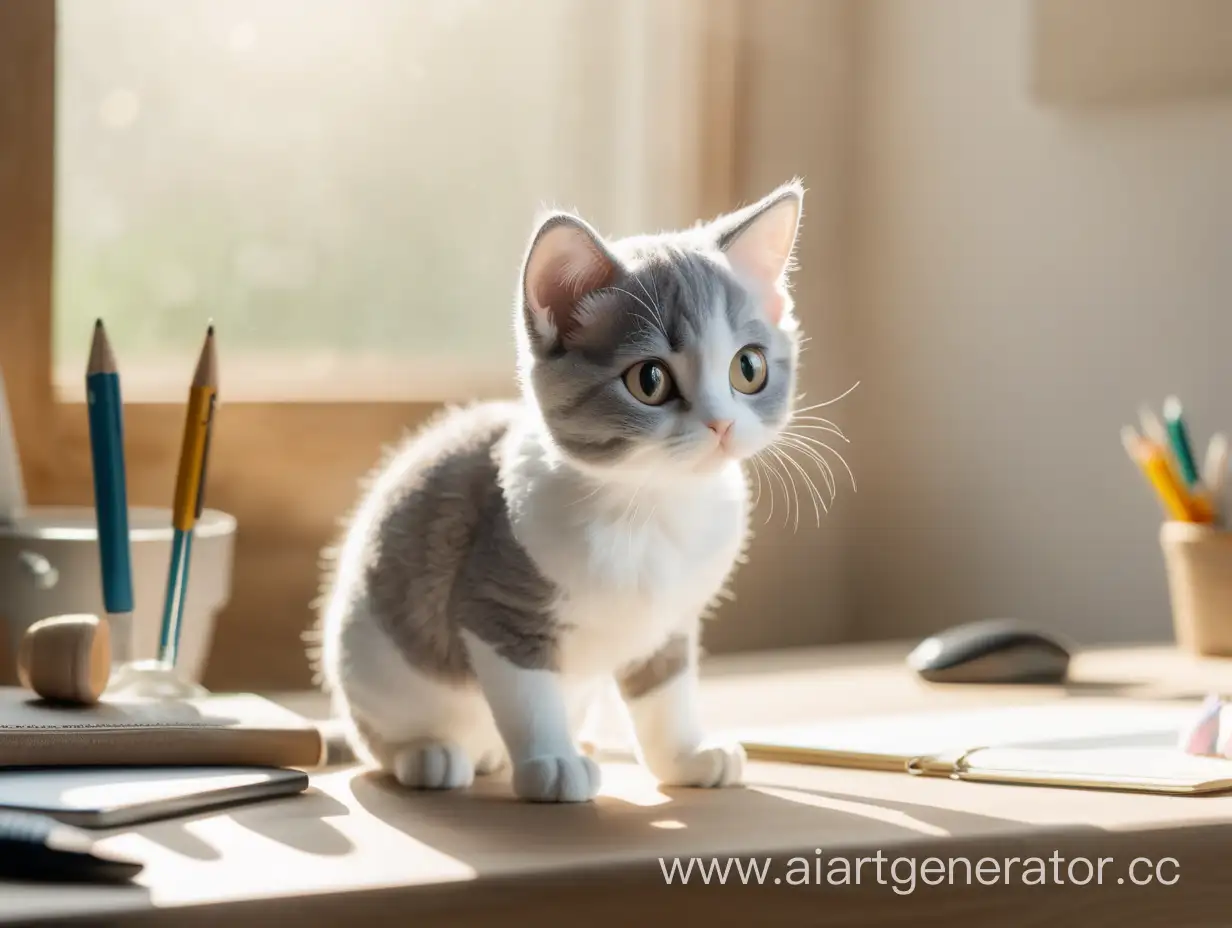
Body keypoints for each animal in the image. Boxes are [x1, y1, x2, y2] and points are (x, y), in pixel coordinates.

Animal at [317, 177, 813, 798]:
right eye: (650, 379)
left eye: (749, 368)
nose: (721, 424)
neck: (652, 506)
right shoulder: (498, 608)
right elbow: (530, 698)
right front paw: (551, 763)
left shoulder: (669, 624)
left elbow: (665, 694)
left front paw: (686, 757)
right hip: (370, 660)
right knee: (381, 735)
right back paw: (429, 754)